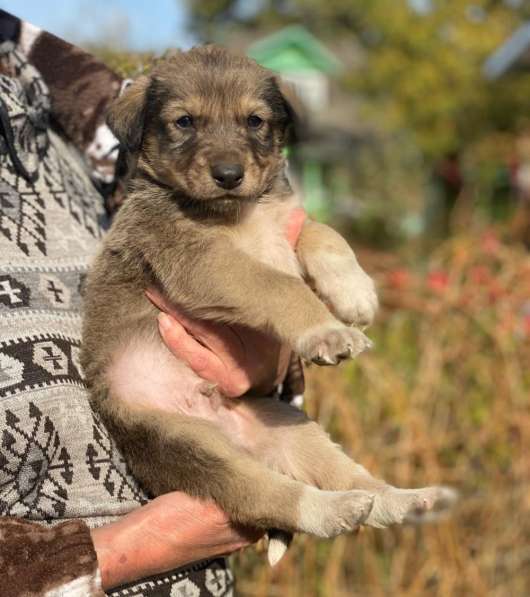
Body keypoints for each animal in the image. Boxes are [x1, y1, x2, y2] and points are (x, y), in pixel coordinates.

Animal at [80, 45, 452, 564]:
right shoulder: (201, 260)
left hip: (290, 424)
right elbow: (278, 286)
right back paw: (330, 510)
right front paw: (327, 331)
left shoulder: (285, 222)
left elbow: (325, 233)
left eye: (254, 120)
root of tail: (231, 434)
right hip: (189, 447)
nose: (229, 175)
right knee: (271, 496)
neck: (240, 212)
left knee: (352, 480)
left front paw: (355, 292)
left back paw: (402, 499)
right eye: (184, 122)